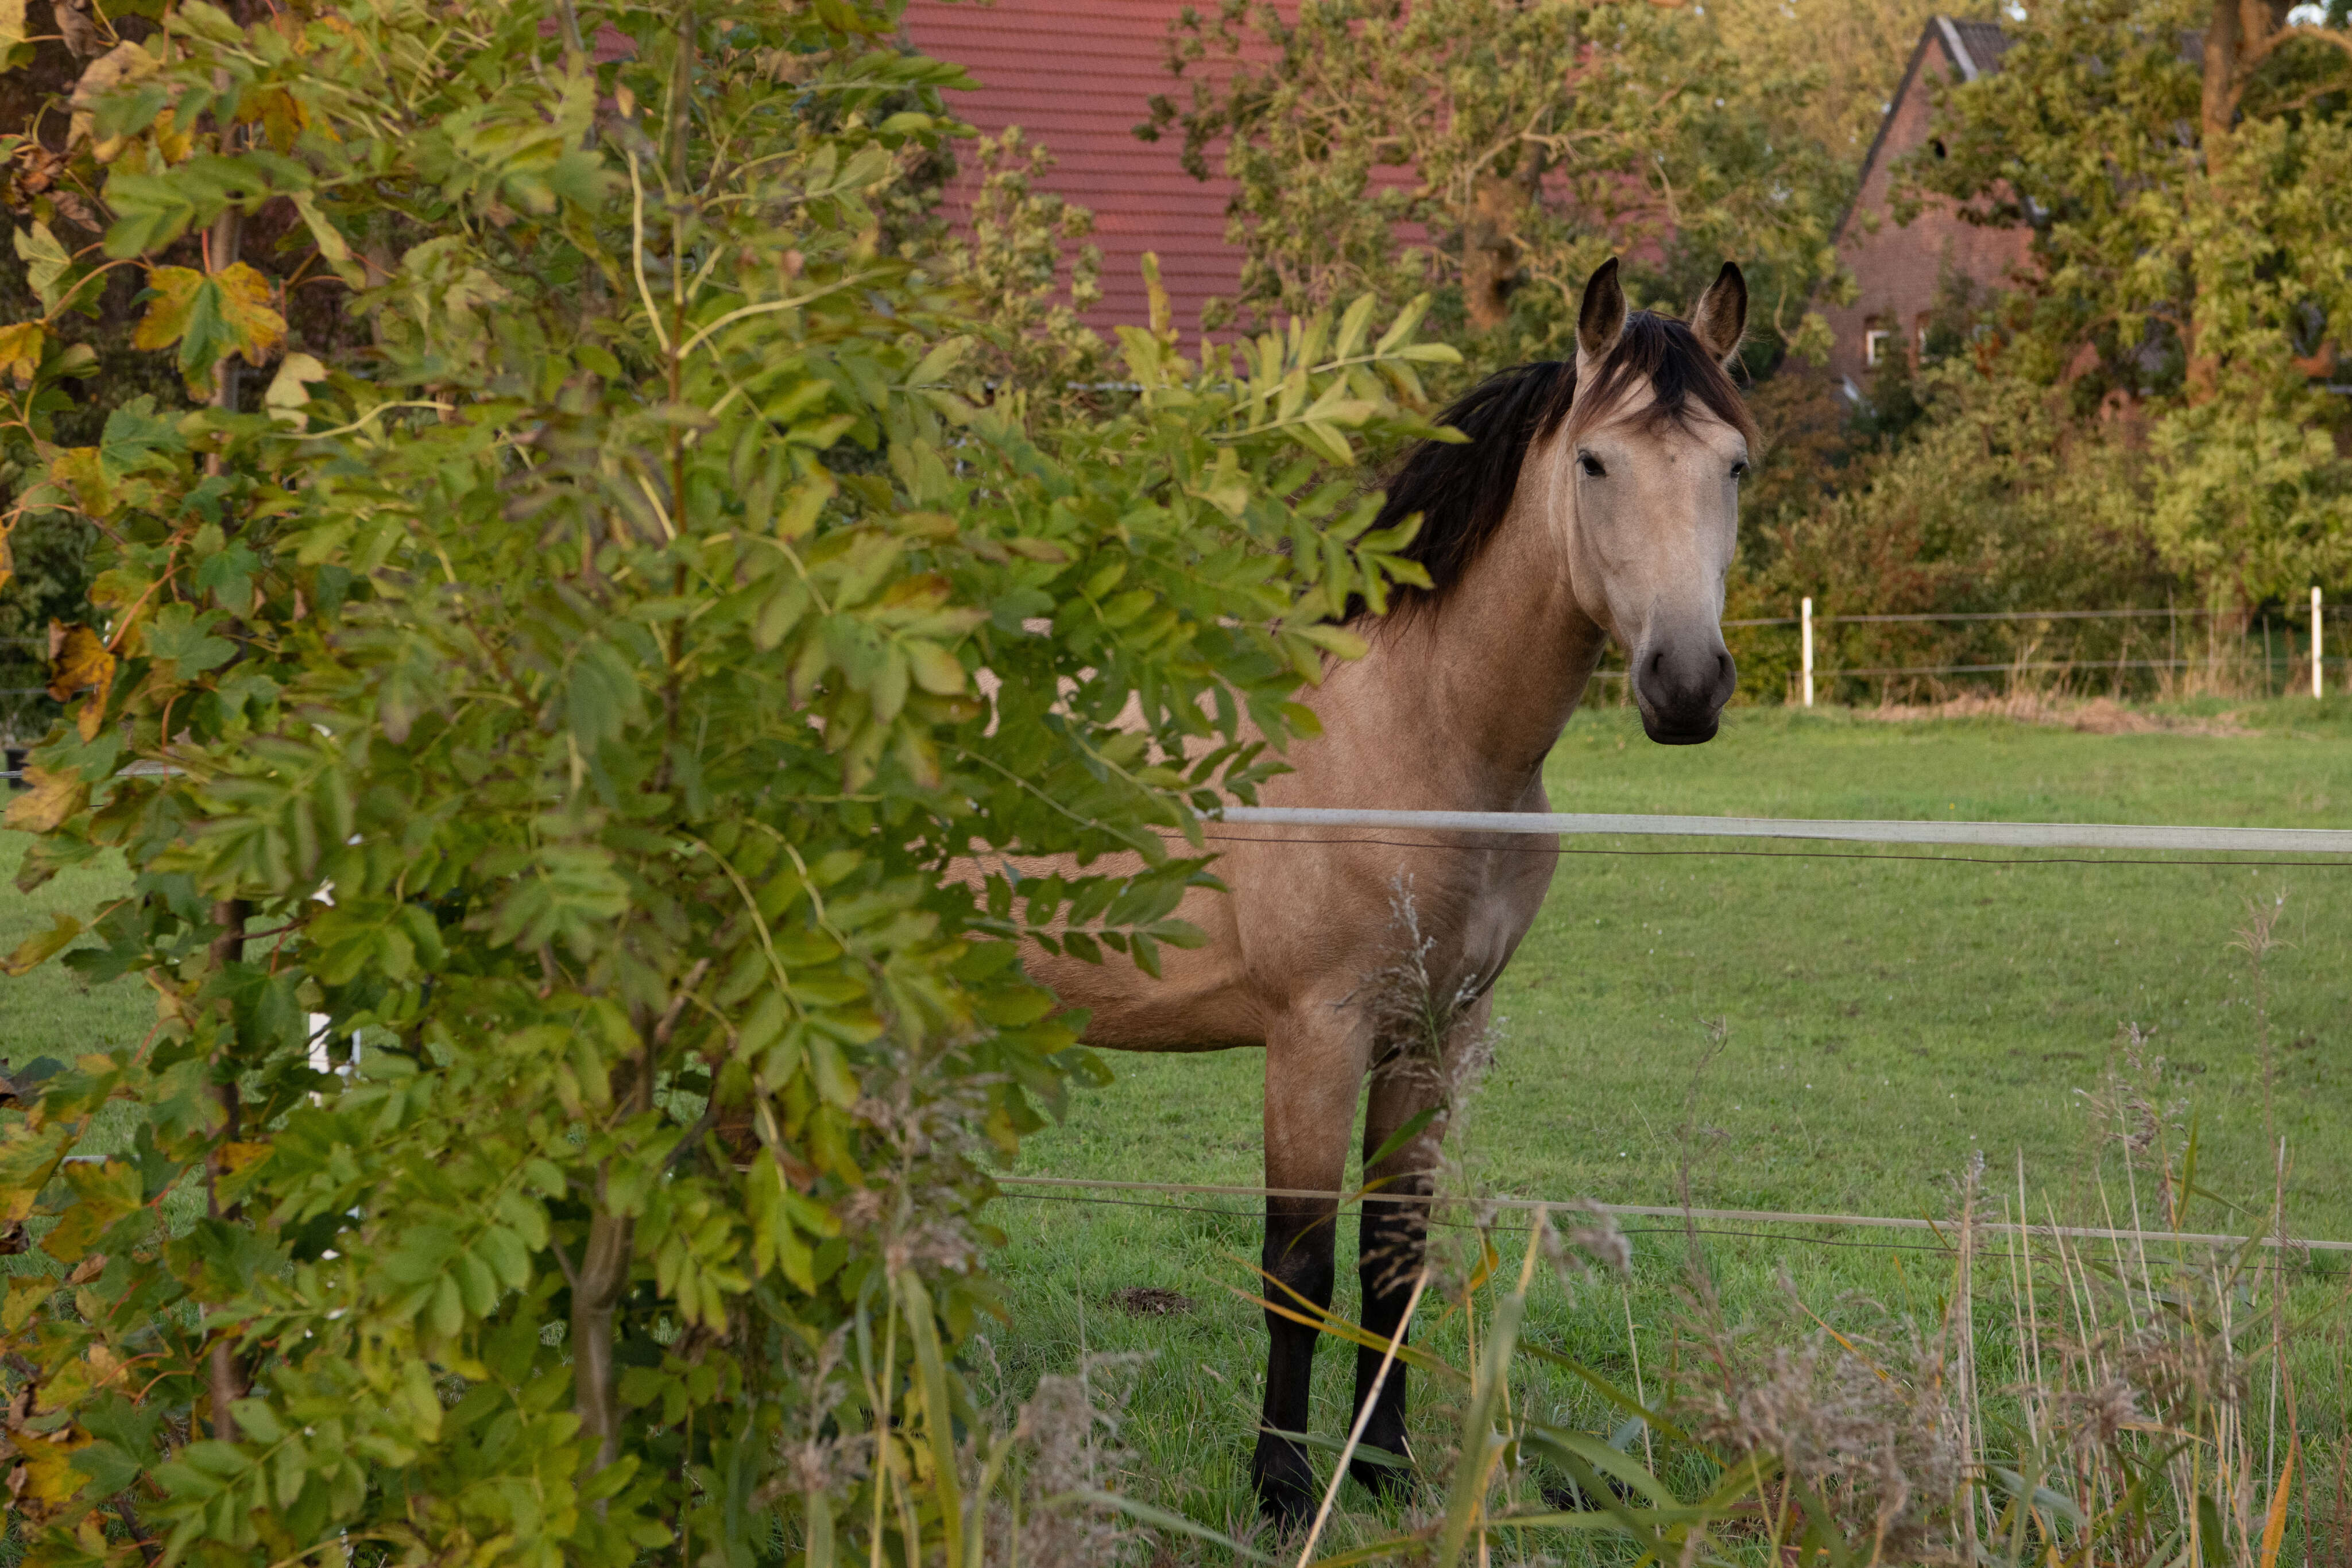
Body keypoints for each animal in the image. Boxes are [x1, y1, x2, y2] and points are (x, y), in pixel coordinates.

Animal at [1024, 256, 1758, 1523]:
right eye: (1593, 462)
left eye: (1734, 465)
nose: (1683, 683)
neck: (1417, 729)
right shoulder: (1315, 1034)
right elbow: (1298, 1266)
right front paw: (1279, 1488)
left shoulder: (1432, 1033)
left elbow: (1394, 1257)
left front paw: (1386, 1469)